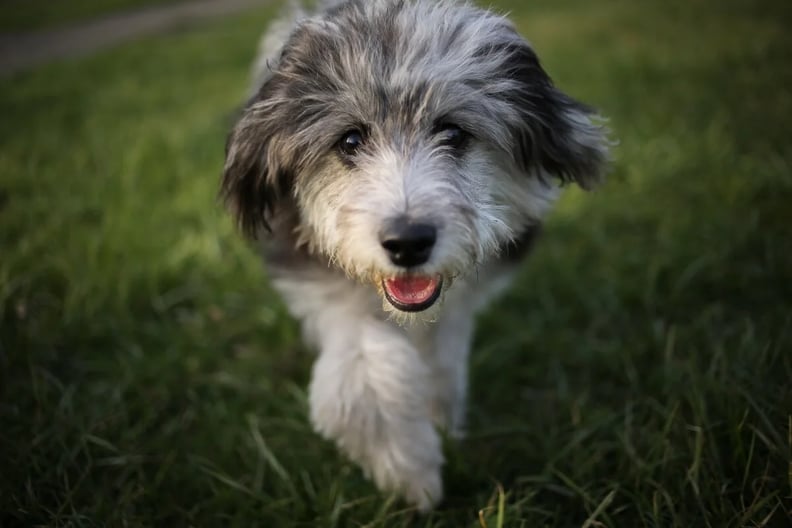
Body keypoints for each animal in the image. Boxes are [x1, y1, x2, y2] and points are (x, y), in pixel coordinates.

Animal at [220, 0, 608, 512]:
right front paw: (409, 469)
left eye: (454, 133)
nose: (408, 242)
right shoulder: (330, 295)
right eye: (350, 140)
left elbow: (442, 361)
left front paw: (441, 422)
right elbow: (365, 377)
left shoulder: (459, 306)